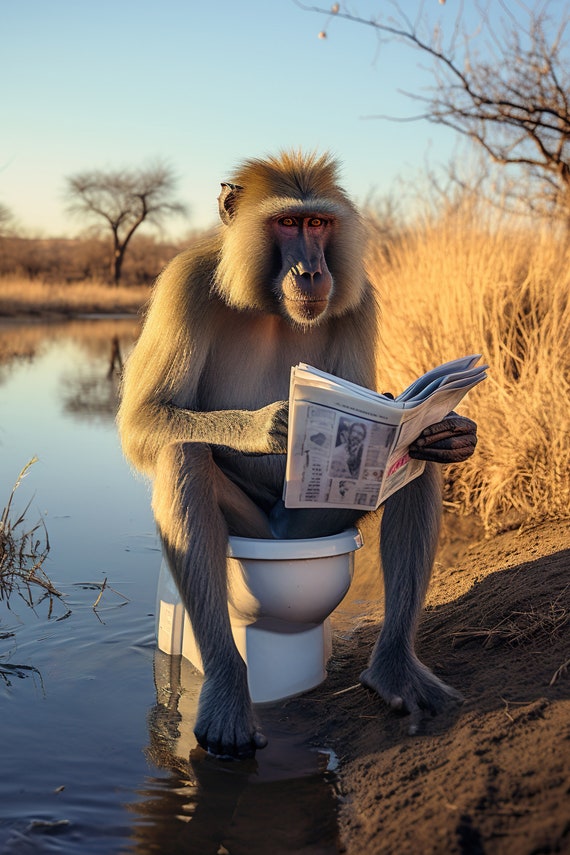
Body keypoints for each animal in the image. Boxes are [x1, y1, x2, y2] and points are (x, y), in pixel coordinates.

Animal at [117, 151, 477, 760]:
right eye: (287, 223)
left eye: (318, 224)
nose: (311, 272)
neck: (266, 304)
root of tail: (281, 535)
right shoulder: (184, 284)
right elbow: (143, 420)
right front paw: (271, 427)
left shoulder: (360, 299)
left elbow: (395, 416)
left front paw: (451, 432)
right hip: (257, 535)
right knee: (182, 453)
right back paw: (227, 696)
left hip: (315, 524)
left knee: (414, 466)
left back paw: (394, 672)